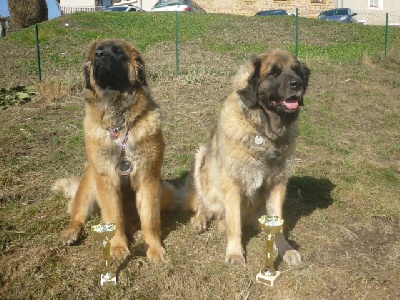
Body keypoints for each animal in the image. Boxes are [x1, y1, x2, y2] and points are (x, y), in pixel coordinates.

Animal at [52, 38, 172, 262]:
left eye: (117, 52)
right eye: (96, 53)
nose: (100, 55)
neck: (119, 124)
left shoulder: (148, 178)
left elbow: (150, 219)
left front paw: (154, 248)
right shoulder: (106, 178)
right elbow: (114, 217)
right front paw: (117, 246)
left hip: (165, 191)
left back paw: (136, 231)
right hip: (90, 180)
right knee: (79, 214)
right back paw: (71, 232)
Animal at [183, 49, 310, 268]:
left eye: (296, 71)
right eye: (273, 73)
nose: (297, 84)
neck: (264, 131)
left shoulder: (277, 184)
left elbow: (277, 223)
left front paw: (285, 249)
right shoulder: (232, 185)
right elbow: (235, 225)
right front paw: (235, 253)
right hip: (201, 158)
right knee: (203, 202)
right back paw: (201, 219)